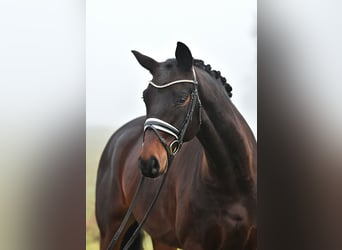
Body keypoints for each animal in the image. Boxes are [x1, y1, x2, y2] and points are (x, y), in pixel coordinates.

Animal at [96, 42, 256, 249]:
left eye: (181, 99)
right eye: (145, 98)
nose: (148, 162)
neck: (233, 183)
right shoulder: (194, 243)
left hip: (161, 238)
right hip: (110, 231)